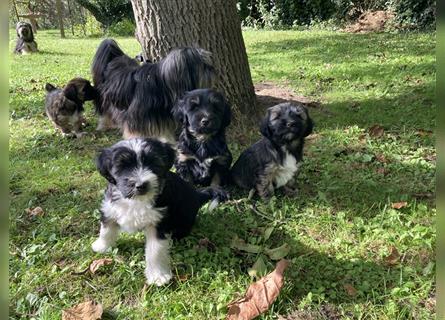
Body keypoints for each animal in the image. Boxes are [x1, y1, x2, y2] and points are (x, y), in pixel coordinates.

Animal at [92, 139, 227, 286]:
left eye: (153, 162)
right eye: (123, 166)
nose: (141, 185)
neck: (137, 201)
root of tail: (197, 195)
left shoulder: (159, 222)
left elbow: (155, 250)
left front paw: (158, 276)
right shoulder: (110, 207)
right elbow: (106, 228)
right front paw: (102, 246)